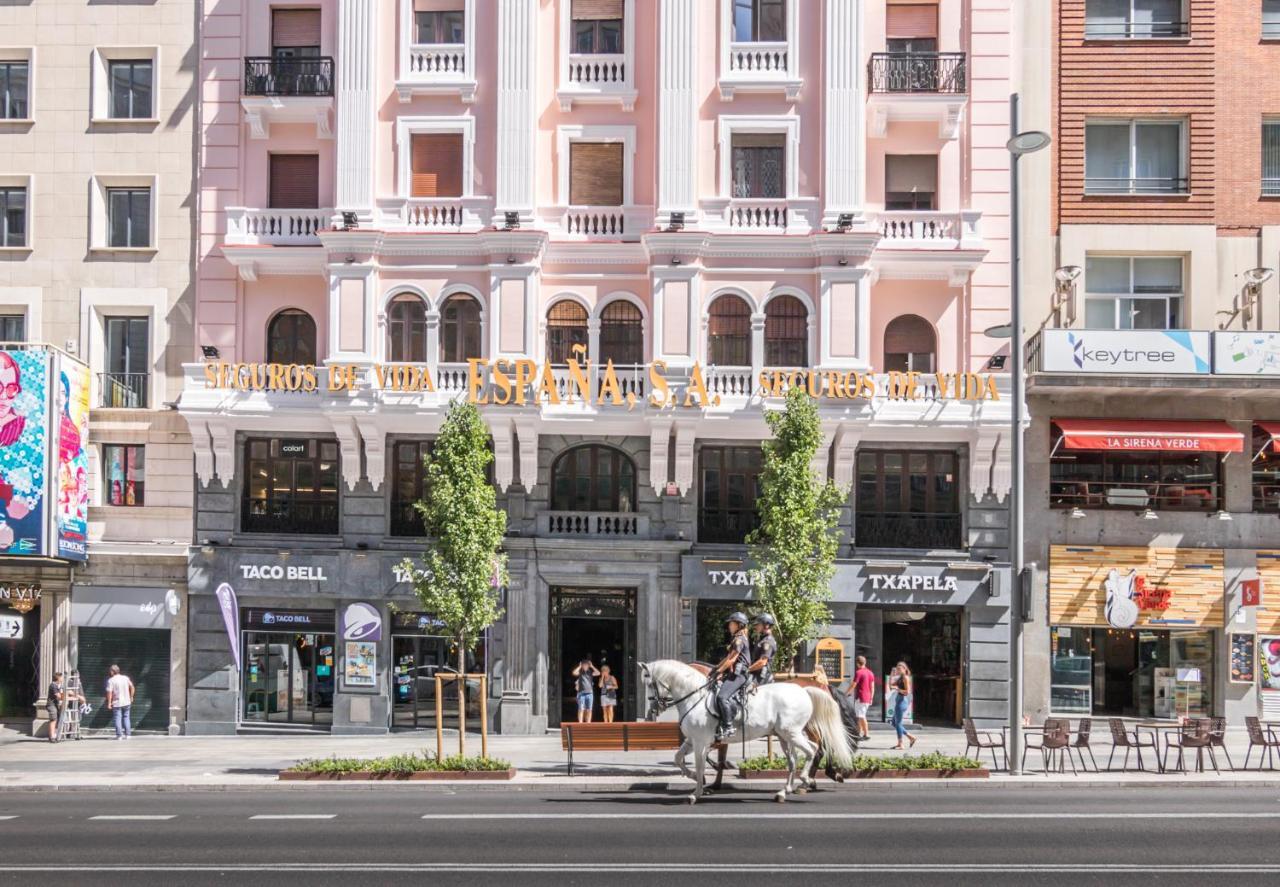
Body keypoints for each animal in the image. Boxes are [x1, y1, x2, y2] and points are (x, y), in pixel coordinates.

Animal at [637, 655, 849, 803]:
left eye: (649, 683)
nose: (652, 711)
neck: (696, 696)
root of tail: (804, 689)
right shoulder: (693, 741)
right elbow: (678, 758)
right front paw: (699, 780)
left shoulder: (701, 742)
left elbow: (701, 765)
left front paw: (696, 792)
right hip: (784, 736)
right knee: (794, 759)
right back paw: (784, 791)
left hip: (793, 733)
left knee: (813, 749)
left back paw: (806, 780)